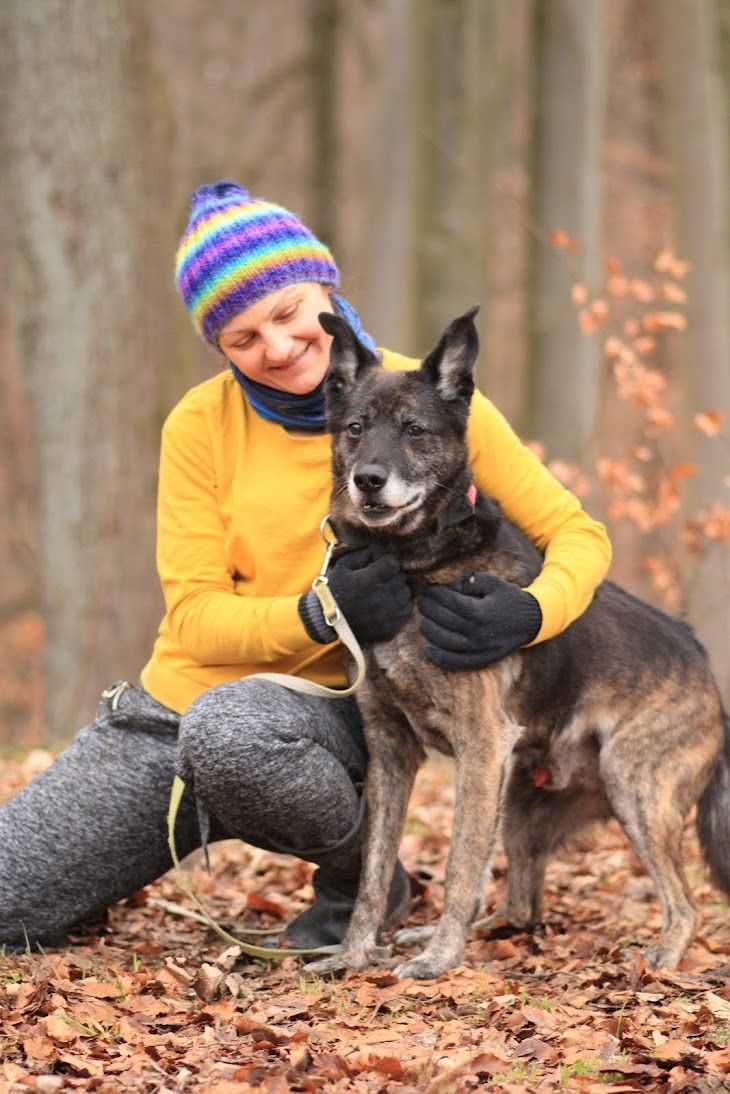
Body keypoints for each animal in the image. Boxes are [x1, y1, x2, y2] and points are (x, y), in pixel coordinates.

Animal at [308, 304, 730, 980]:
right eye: (354, 428)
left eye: (414, 430)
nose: (367, 480)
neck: (413, 565)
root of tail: (704, 665)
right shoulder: (391, 752)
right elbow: (373, 873)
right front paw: (353, 953)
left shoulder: (480, 747)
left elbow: (458, 865)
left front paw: (438, 960)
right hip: (523, 807)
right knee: (522, 904)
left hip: (634, 786)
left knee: (684, 903)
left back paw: (663, 955)